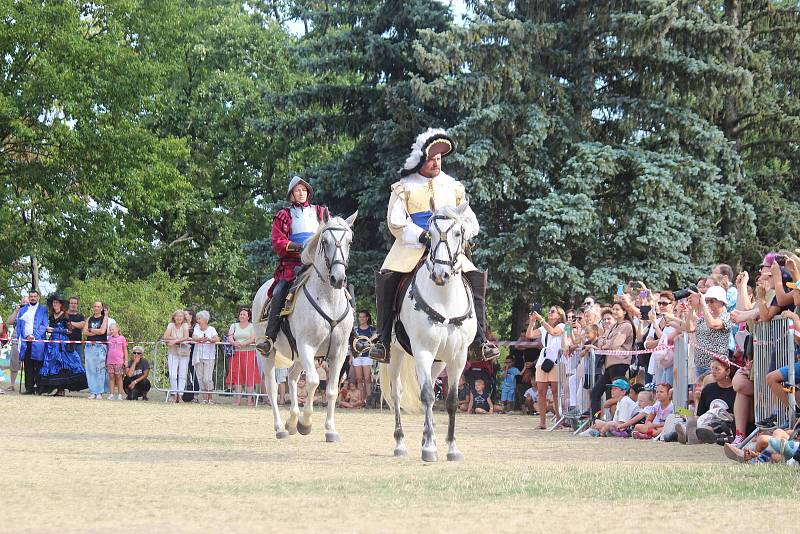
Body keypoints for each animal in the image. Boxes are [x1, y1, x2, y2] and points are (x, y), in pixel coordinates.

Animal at [253, 213, 356, 444]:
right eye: (324, 242)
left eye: (349, 242)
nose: (338, 278)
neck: (328, 300)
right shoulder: (307, 346)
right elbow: (313, 381)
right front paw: (306, 423)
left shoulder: (339, 352)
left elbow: (332, 390)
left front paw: (330, 430)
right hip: (270, 352)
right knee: (273, 387)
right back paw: (281, 427)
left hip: (298, 356)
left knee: (291, 377)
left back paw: (291, 422)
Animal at [380, 203, 476, 462]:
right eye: (430, 235)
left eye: (457, 233)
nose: (441, 275)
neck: (445, 300)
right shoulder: (422, 351)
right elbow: (427, 396)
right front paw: (430, 448)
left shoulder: (458, 356)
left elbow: (450, 400)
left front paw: (452, 448)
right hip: (396, 353)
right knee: (398, 394)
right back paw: (400, 443)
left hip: (438, 361)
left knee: (430, 390)